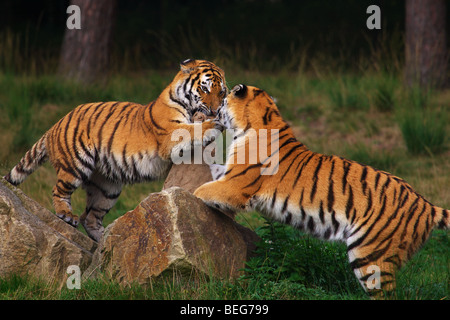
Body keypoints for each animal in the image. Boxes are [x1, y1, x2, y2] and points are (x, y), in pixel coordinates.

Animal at [3, 58, 227, 241]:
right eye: (205, 89)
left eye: (222, 92)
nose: (215, 110)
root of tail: (55, 125)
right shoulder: (172, 135)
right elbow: (195, 130)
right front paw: (215, 123)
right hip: (75, 165)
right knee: (59, 191)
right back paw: (66, 215)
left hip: (108, 188)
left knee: (90, 217)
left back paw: (108, 240)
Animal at [194, 84, 450, 298]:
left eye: (223, 98)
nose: (212, 111)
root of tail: (426, 204)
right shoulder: (228, 176)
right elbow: (212, 170)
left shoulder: (234, 186)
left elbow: (201, 190)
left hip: (371, 257)